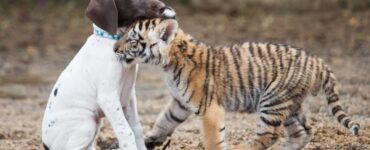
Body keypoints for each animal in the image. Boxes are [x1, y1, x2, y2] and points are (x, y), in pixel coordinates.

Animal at [42, 0, 175, 149]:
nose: (163, 7)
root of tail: (46, 144)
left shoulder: (129, 96)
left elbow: (136, 129)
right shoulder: (108, 98)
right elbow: (126, 131)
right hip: (87, 124)